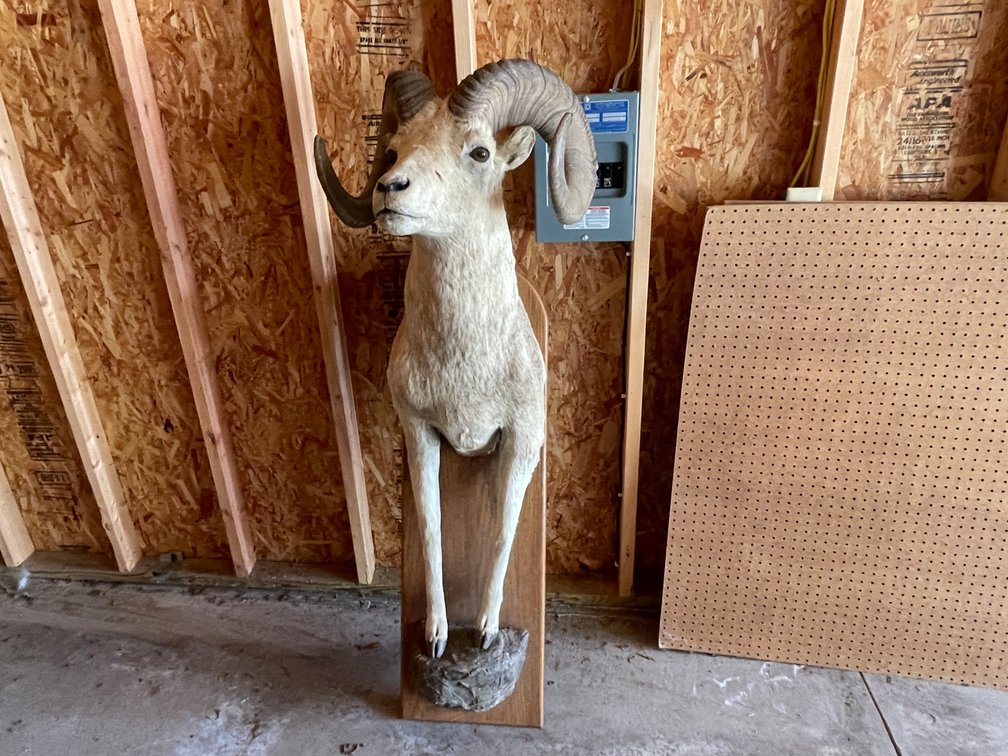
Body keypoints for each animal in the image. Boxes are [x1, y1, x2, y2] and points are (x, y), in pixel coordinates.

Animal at [315, 59, 597, 658]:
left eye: (480, 152)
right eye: (394, 149)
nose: (389, 189)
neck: (466, 368)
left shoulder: (520, 443)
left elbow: (502, 533)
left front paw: (485, 632)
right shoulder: (421, 435)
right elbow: (431, 530)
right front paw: (437, 636)